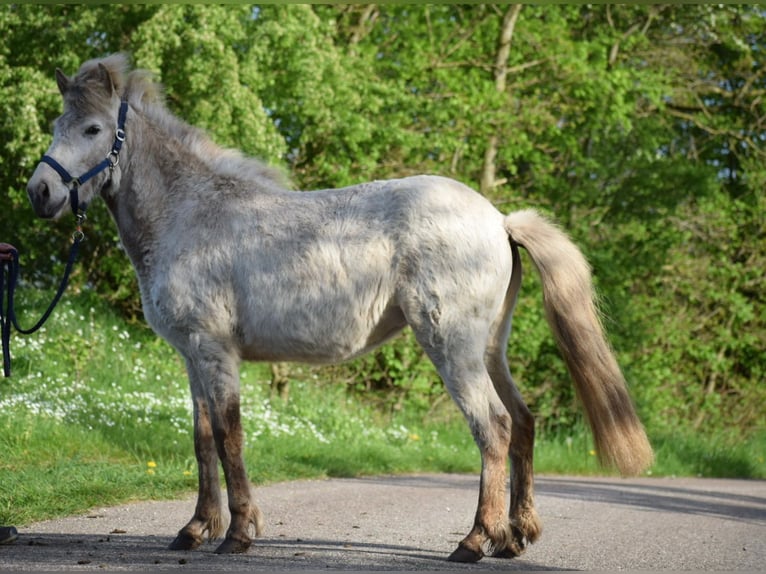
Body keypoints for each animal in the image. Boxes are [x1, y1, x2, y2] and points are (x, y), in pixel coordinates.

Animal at [27, 54, 653, 562]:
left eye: (92, 128)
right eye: (57, 125)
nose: (40, 192)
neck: (190, 212)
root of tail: (498, 219)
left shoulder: (213, 350)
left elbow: (229, 437)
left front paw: (239, 534)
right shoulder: (191, 357)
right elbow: (203, 441)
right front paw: (194, 529)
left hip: (451, 347)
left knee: (493, 428)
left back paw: (475, 541)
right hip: (489, 349)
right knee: (522, 422)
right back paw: (516, 537)